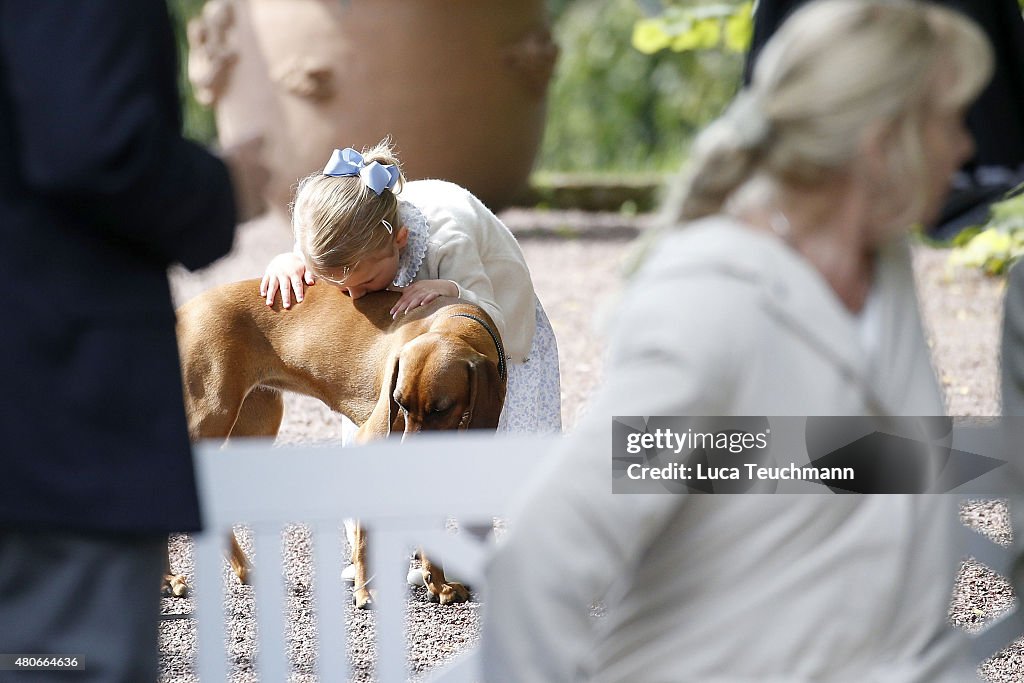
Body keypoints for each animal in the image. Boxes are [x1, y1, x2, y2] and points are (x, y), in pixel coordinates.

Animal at [165, 278, 509, 610]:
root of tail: (185, 310)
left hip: (256, 425)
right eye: (400, 403)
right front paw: (365, 593)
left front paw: (438, 584)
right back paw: (167, 580)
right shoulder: (371, 443)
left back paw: (244, 570)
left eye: (441, 409)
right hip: (210, 418)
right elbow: (366, 537)